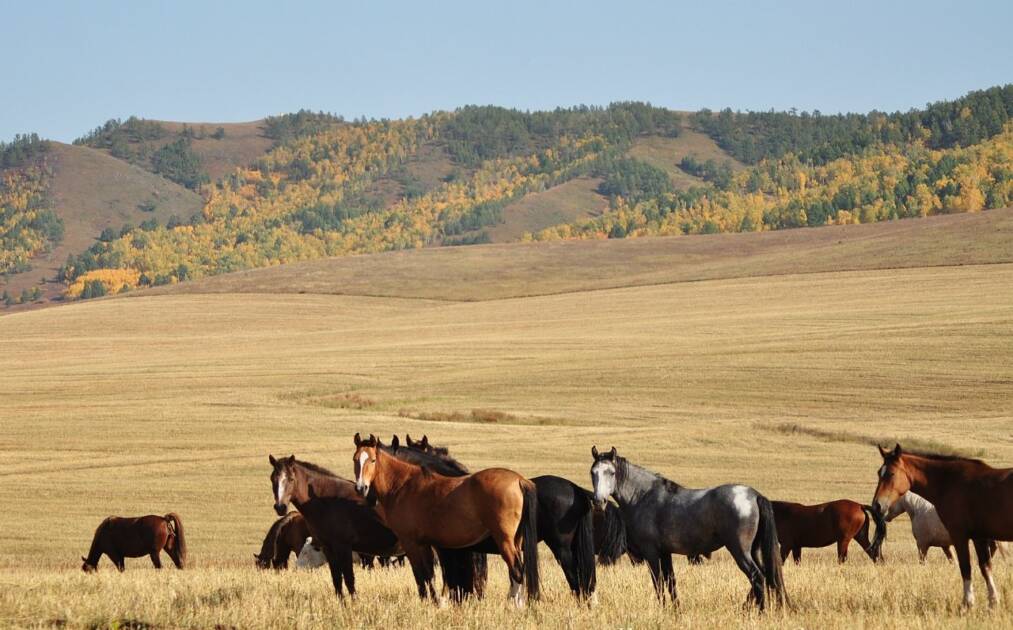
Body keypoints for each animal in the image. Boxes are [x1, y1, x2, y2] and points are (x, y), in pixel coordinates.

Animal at [269, 455, 403, 599]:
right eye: (273, 479)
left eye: (291, 479)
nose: (280, 507)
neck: (328, 501)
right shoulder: (328, 548)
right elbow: (336, 579)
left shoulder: (344, 548)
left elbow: (349, 579)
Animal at [354, 433, 542, 607]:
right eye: (355, 459)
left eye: (372, 460)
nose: (361, 489)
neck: (404, 484)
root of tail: (519, 480)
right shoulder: (429, 544)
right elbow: (431, 575)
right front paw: (437, 602)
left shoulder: (412, 543)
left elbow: (421, 575)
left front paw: (430, 602)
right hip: (516, 540)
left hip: (504, 540)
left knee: (517, 570)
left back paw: (515, 605)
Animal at [591, 447, 786, 611]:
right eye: (593, 472)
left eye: (611, 473)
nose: (599, 502)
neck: (643, 496)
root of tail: (754, 495)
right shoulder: (665, 553)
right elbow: (671, 582)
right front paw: (676, 610)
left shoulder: (651, 553)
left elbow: (658, 583)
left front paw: (662, 610)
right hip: (754, 551)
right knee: (765, 576)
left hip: (740, 551)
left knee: (757, 577)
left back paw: (759, 611)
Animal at [871, 447, 1013, 611]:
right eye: (879, 472)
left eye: (891, 473)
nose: (877, 506)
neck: (950, 483)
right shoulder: (979, 538)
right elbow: (986, 567)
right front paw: (992, 602)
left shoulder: (959, 537)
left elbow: (965, 568)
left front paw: (967, 603)